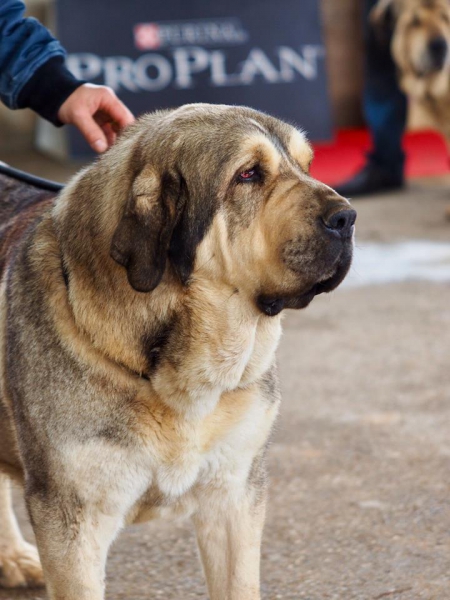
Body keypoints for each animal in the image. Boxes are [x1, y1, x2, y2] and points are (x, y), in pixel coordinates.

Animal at [0, 105, 356, 596]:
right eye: (248, 174)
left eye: (307, 165)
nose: (347, 218)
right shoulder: (71, 520)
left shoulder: (235, 495)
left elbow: (238, 583)